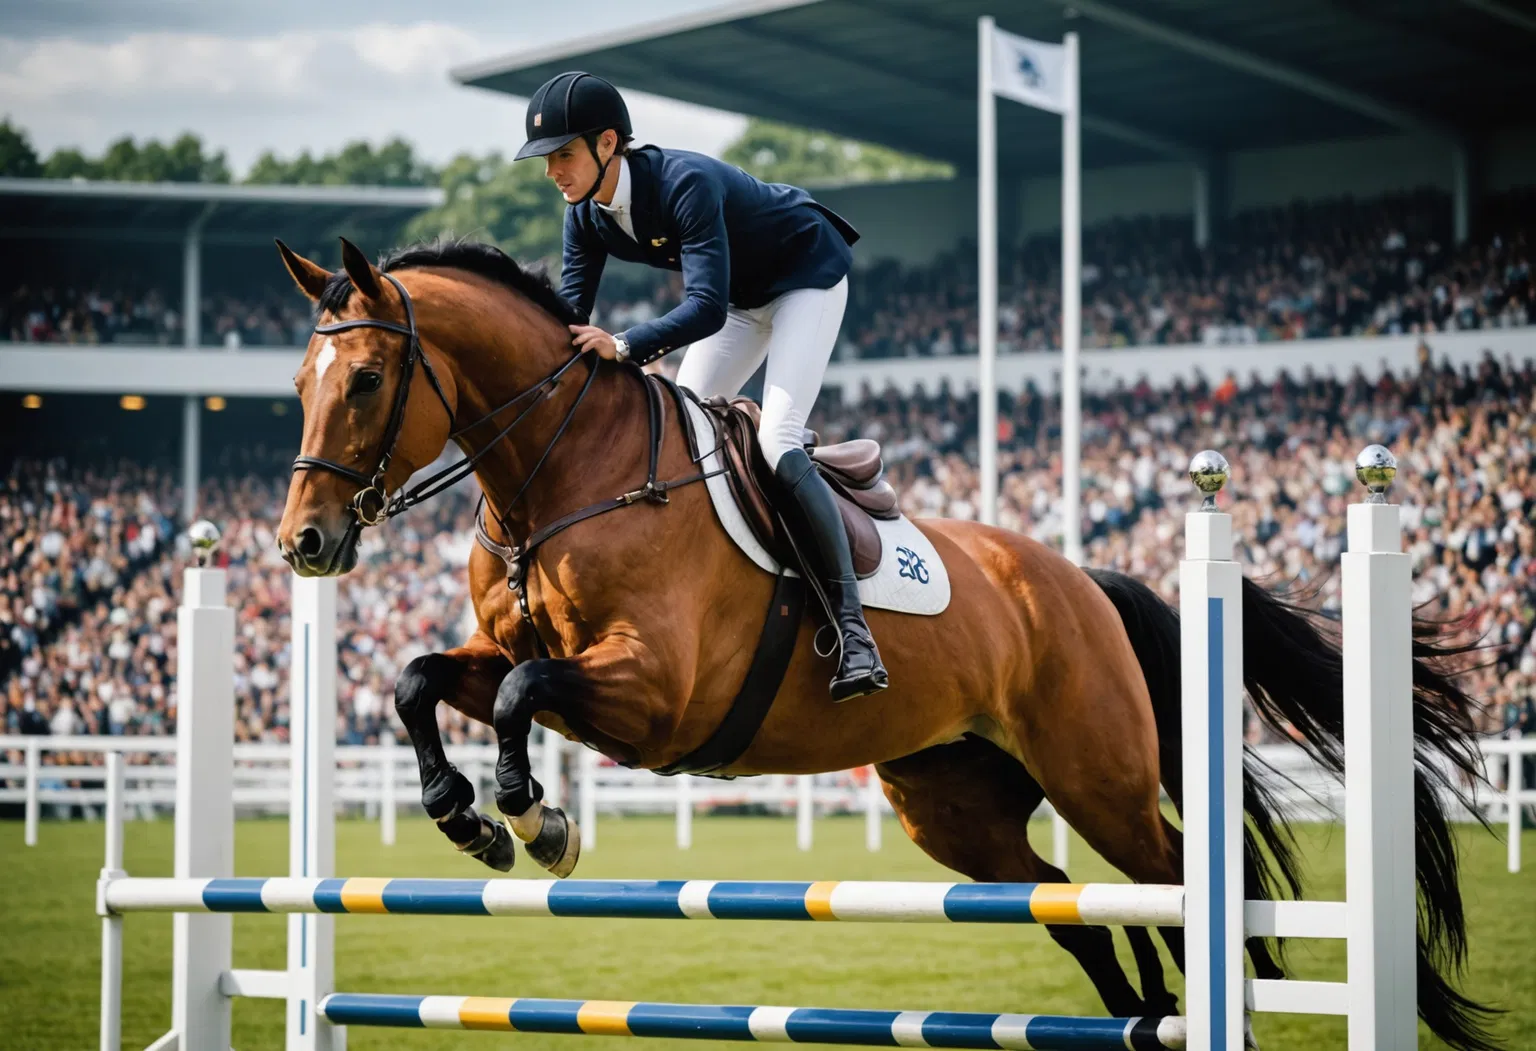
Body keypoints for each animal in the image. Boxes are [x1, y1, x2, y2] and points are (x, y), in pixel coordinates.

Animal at [272, 236, 1496, 1050]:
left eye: (367, 378)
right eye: (296, 383)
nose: (302, 542)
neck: (563, 476)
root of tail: (1081, 580)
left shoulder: (657, 696)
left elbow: (524, 689)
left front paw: (537, 818)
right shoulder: (518, 659)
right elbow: (421, 678)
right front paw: (461, 813)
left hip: (1094, 774)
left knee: (1177, 880)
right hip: (955, 807)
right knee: (1075, 909)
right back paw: (1142, 1012)